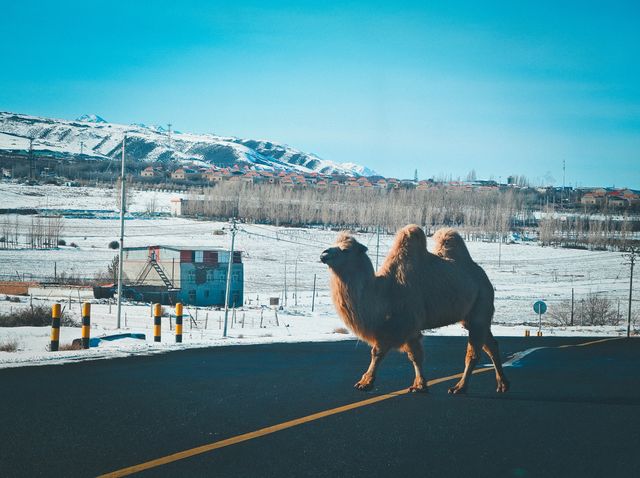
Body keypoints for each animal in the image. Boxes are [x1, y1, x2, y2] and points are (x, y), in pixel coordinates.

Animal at [320, 226, 510, 394]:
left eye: (345, 249)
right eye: (334, 243)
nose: (324, 254)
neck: (385, 290)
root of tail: (482, 275)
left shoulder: (402, 323)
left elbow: (378, 352)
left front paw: (365, 383)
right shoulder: (409, 328)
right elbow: (415, 356)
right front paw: (419, 386)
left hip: (481, 305)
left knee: (473, 352)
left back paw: (459, 388)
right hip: (471, 315)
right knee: (491, 345)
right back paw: (502, 385)